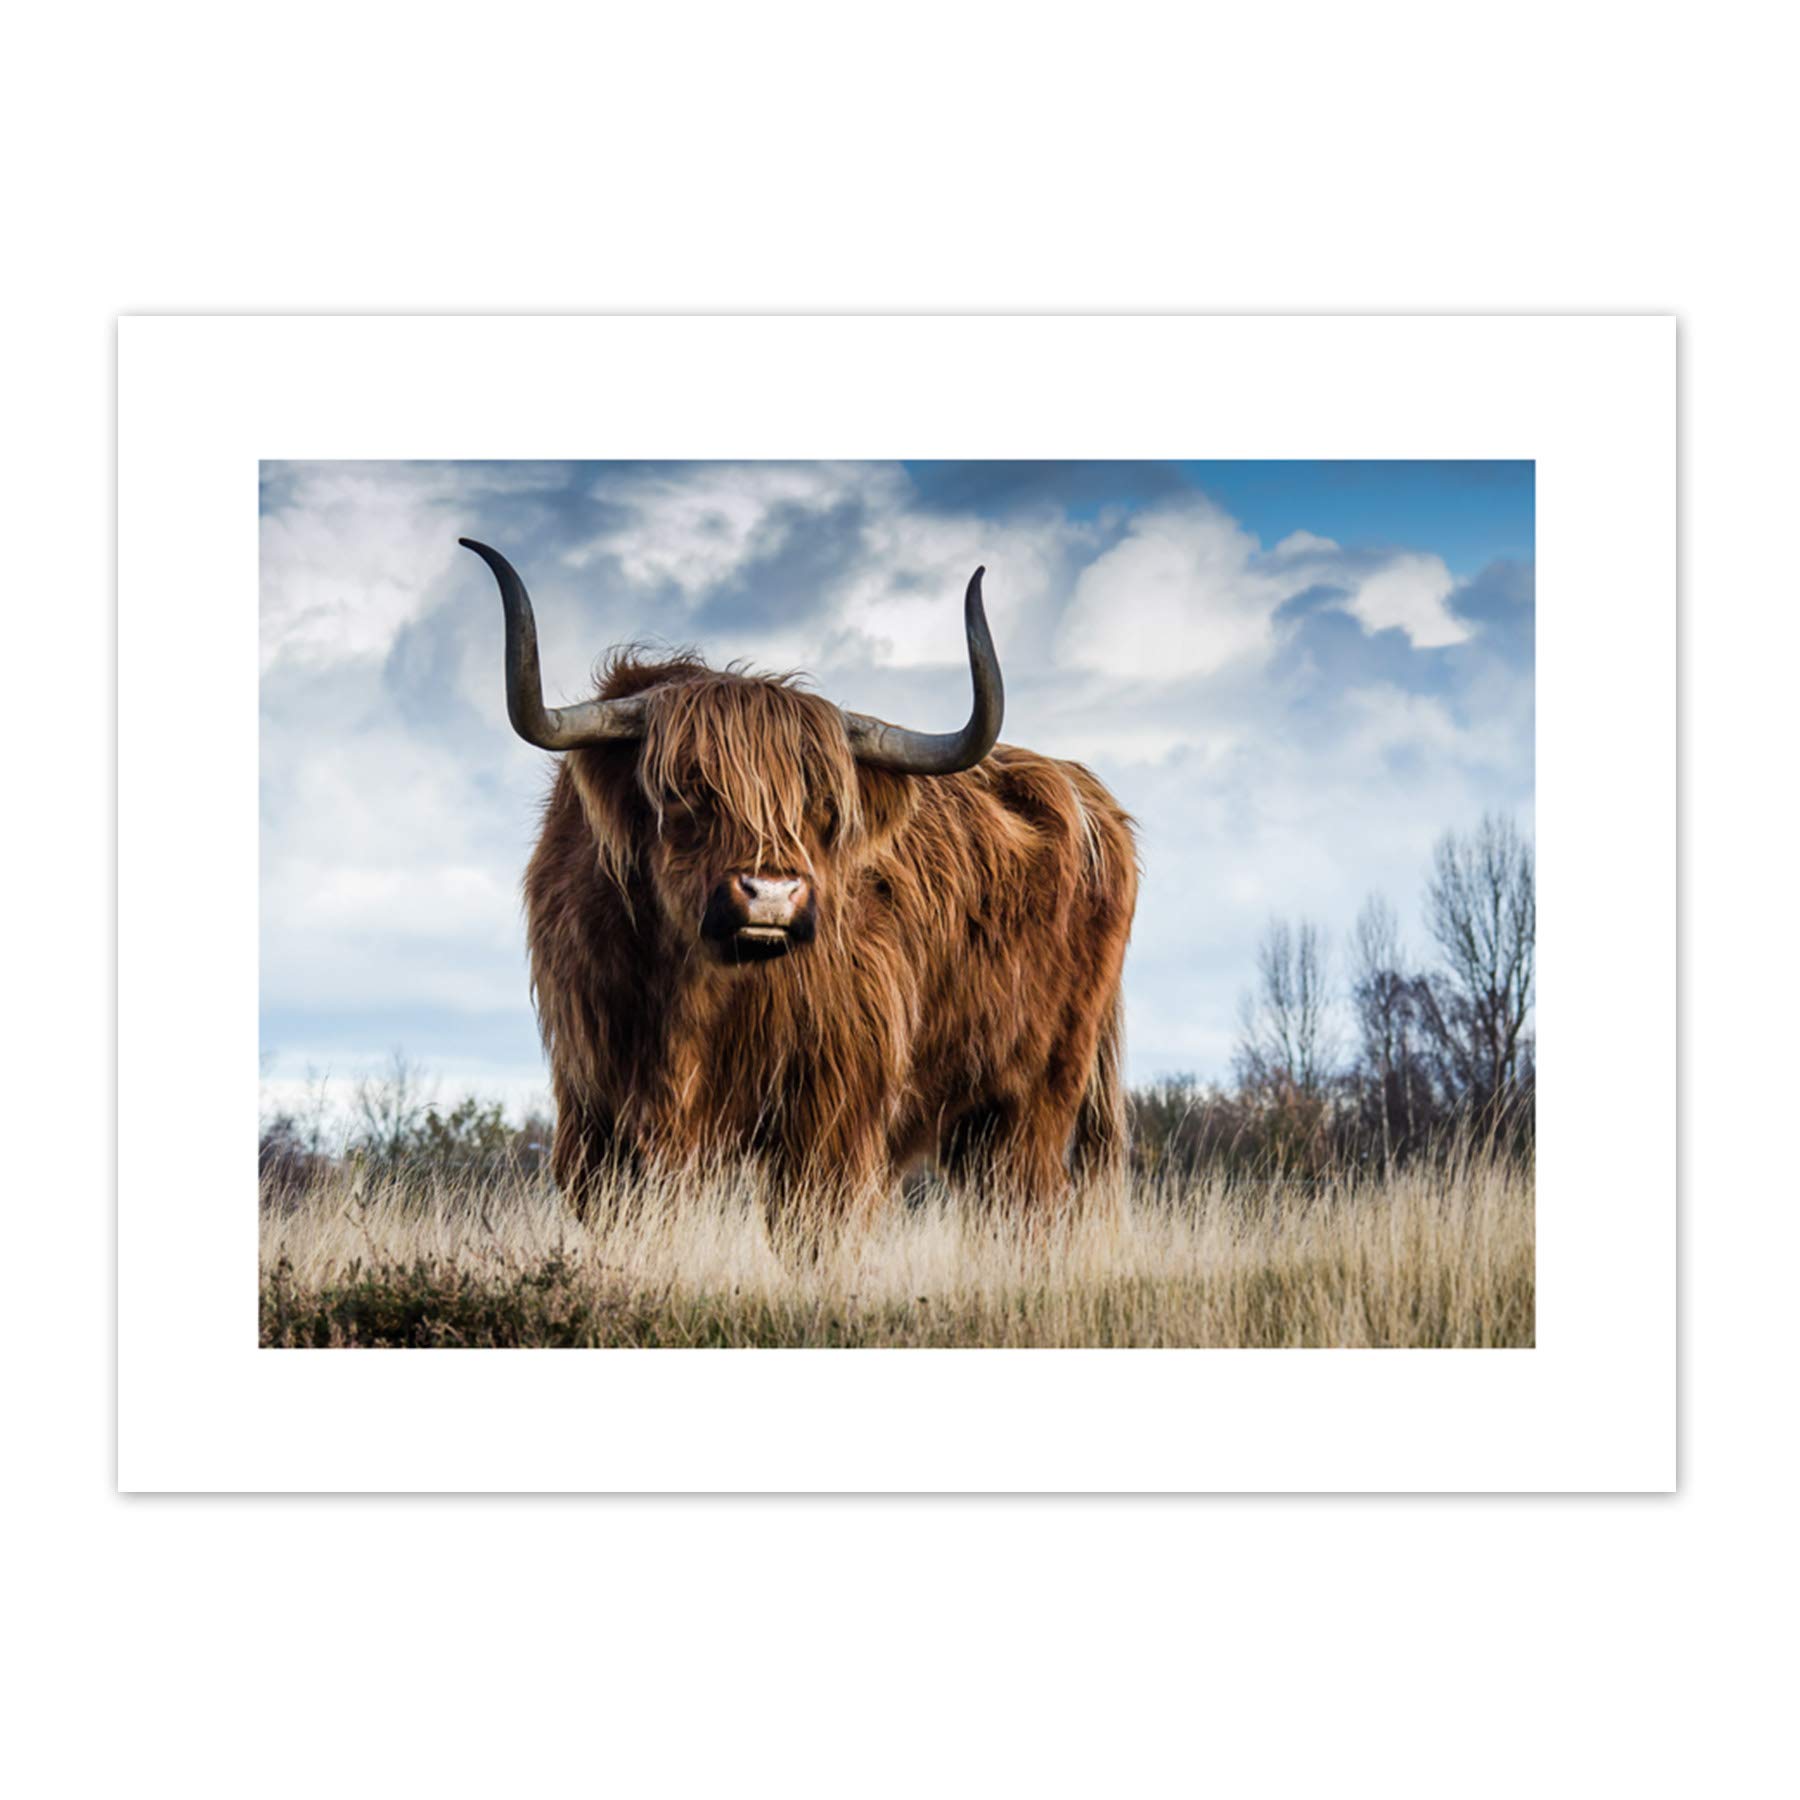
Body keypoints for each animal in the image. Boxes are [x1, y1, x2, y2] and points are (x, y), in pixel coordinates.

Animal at [460, 538, 1138, 1228]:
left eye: (823, 805)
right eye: (684, 790)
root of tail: (1086, 793)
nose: (772, 894)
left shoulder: (832, 1109)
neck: (690, 992)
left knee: (1030, 1204)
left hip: (1036, 1097)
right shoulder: (595, 1107)